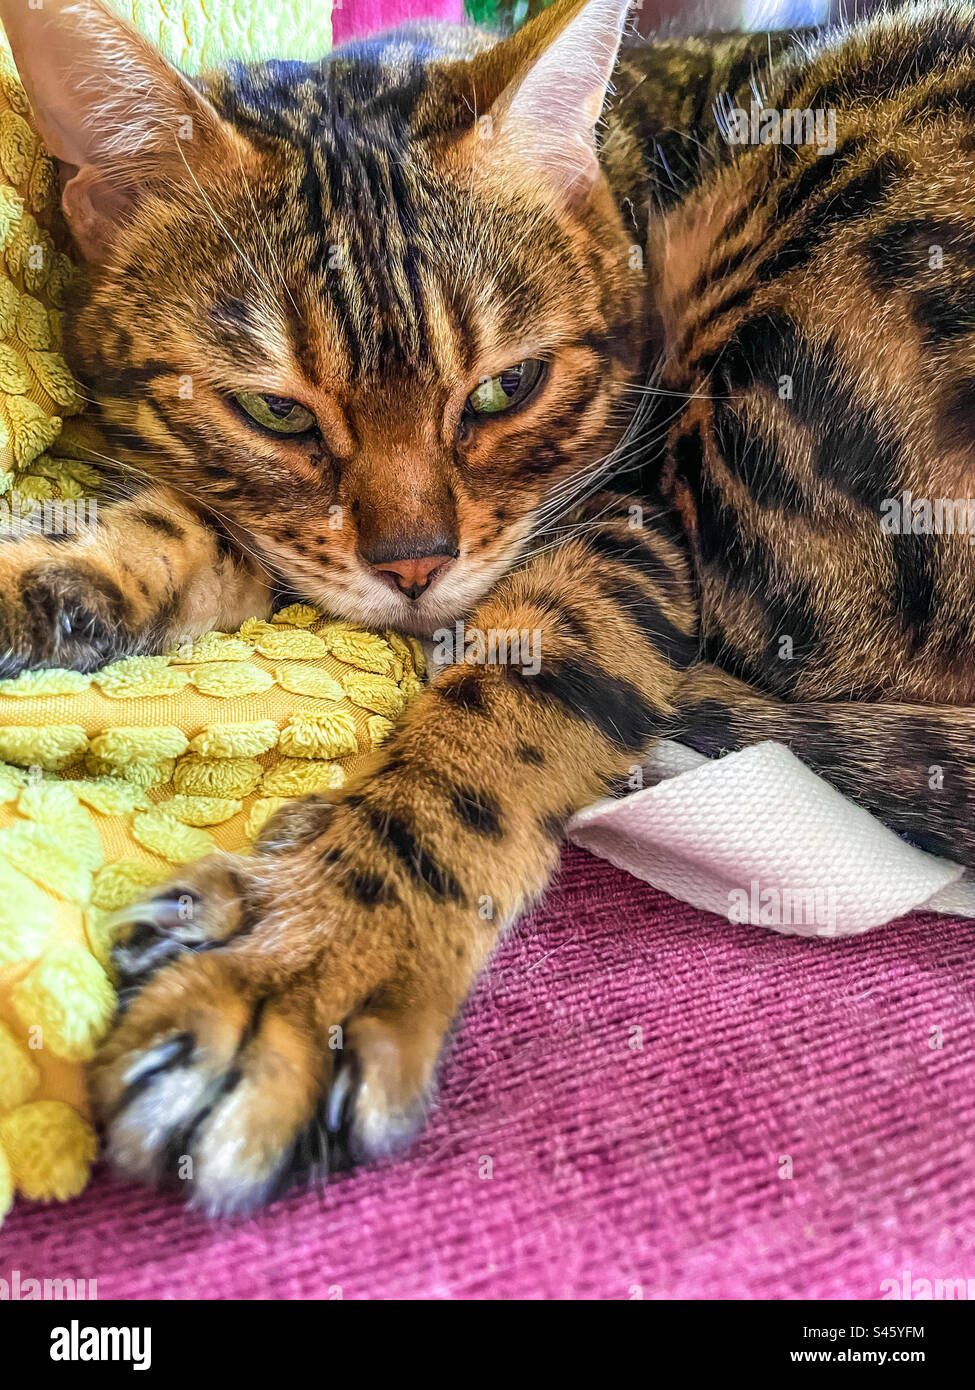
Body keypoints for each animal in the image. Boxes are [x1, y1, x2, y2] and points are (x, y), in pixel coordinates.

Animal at [5, 0, 973, 1212]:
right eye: (275, 412)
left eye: (505, 390)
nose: (415, 563)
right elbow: (209, 525)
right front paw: (58, 569)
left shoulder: (623, 521)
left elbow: (495, 723)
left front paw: (314, 960)